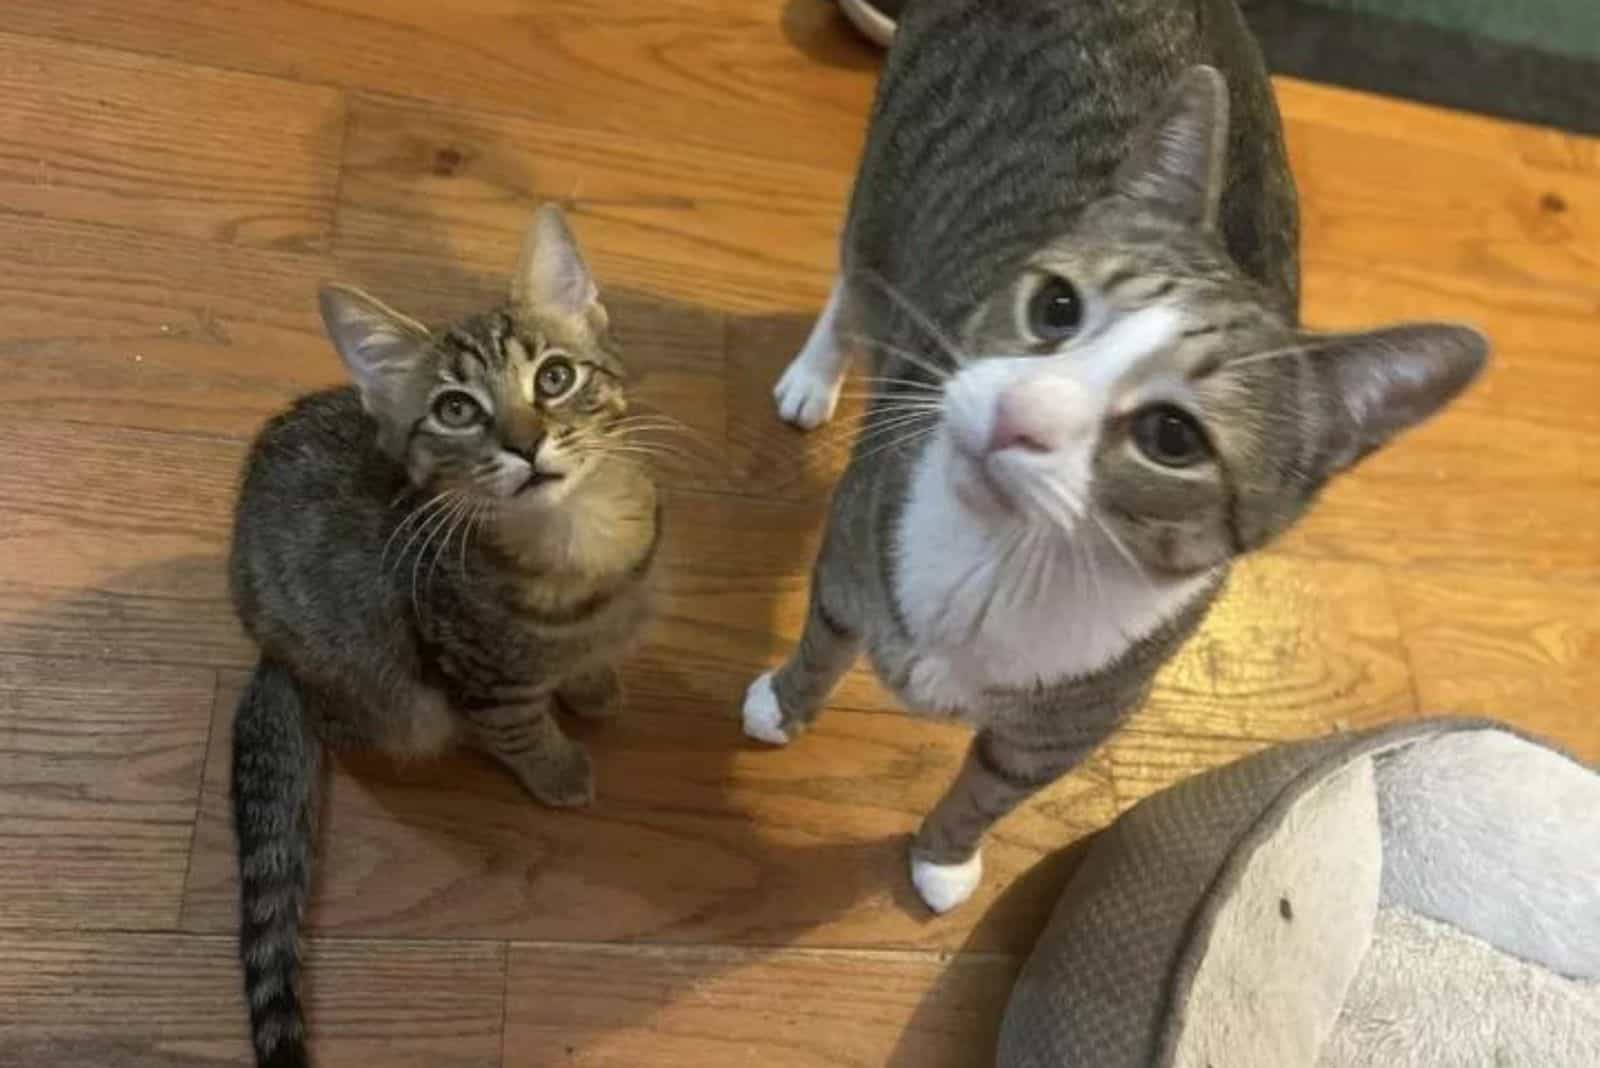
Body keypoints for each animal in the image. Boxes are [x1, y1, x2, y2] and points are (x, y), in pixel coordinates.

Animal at [227, 204, 656, 1061]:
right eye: (457, 410)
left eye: (555, 377)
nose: (524, 443)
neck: (578, 545)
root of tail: (270, 654)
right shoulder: (478, 671)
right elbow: (523, 728)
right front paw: (560, 769)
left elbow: (586, 663)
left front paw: (595, 685)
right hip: (388, 697)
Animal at [742, 2, 1478, 920]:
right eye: (1056, 305)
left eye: (1172, 438)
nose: (1020, 416)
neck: (1000, 561)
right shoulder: (852, 553)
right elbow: (825, 642)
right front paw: (781, 705)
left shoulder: (1066, 731)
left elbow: (988, 791)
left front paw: (945, 859)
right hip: (887, 182)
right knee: (854, 283)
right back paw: (814, 375)